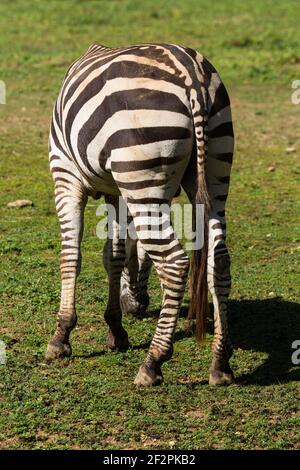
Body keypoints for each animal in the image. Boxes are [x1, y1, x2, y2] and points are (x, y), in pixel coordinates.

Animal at [46, 42, 234, 386]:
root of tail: (191, 75)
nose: (138, 307)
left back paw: (153, 362)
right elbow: (114, 255)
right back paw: (220, 363)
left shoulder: (65, 173)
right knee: (220, 260)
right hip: (214, 168)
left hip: (140, 169)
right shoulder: (118, 193)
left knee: (175, 262)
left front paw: (61, 335)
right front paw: (116, 329)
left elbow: (71, 255)